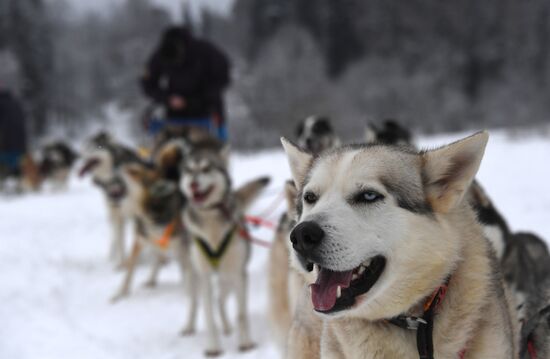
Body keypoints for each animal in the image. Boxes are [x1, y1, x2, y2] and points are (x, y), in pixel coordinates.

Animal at [80, 132, 146, 268]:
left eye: (95, 147)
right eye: (86, 146)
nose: (79, 155)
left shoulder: (137, 214)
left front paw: (133, 261)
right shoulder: (118, 215)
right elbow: (120, 243)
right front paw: (120, 264)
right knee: (115, 239)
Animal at [181, 144, 270, 358]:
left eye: (206, 168)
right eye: (188, 170)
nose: (193, 184)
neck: (212, 223)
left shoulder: (239, 274)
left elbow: (241, 314)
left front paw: (245, 343)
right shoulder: (204, 276)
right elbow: (208, 316)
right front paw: (214, 347)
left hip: (227, 277)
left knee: (220, 300)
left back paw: (228, 327)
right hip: (193, 276)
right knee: (195, 302)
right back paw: (189, 326)